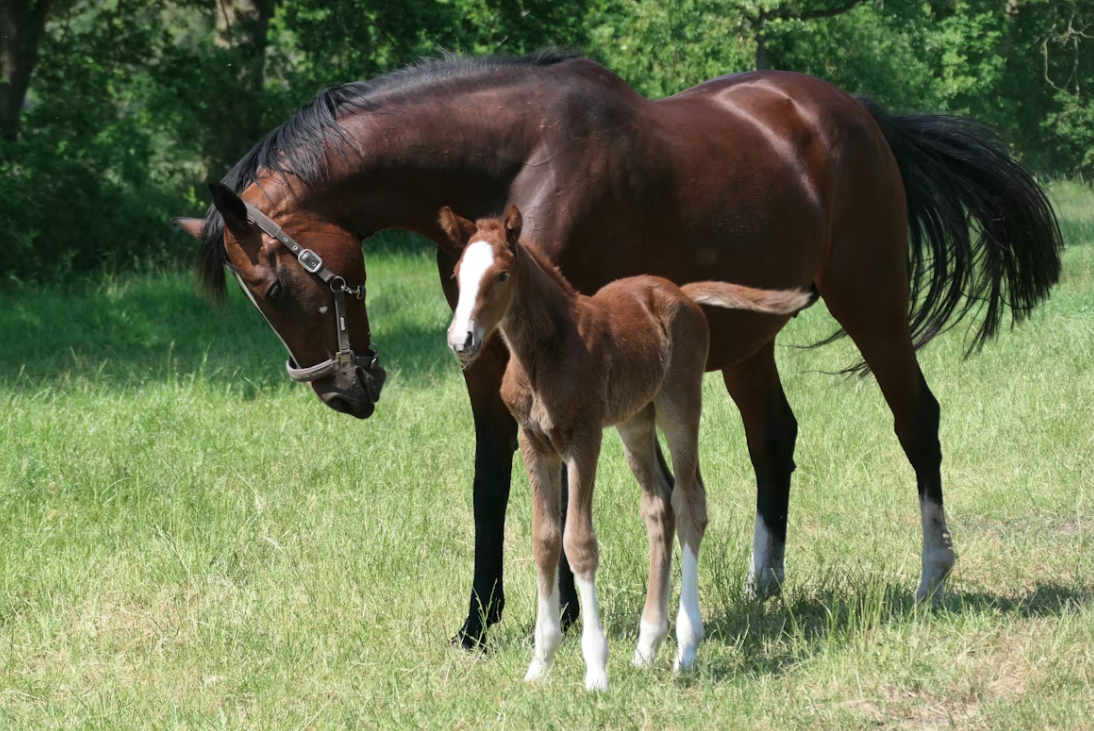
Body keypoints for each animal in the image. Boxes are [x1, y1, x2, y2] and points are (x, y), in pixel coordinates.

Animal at [438, 204, 813, 688]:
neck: (543, 353)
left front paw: (596, 669)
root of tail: (680, 292)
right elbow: (545, 541)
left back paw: (686, 647)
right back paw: (647, 644)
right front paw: (540, 664)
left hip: (677, 407)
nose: (461, 341)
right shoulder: (534, 442)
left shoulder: (584, 437)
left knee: (690, 503)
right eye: (457, 273)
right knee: (659, 505)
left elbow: (579, 543)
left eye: (501, 275)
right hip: (635, 423)